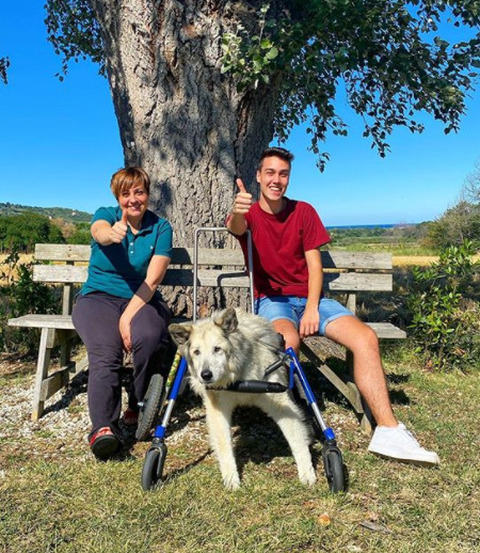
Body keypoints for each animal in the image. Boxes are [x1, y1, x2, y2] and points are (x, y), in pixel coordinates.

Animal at [167, 308, 316, 490]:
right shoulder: (218, 412)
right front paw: (231, 479)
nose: (206, 375)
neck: (238, 380)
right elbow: (225, 447)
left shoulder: (281, 404)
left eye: (217, 349)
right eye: (197, 352)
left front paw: (307, 473)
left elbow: (297, 441)